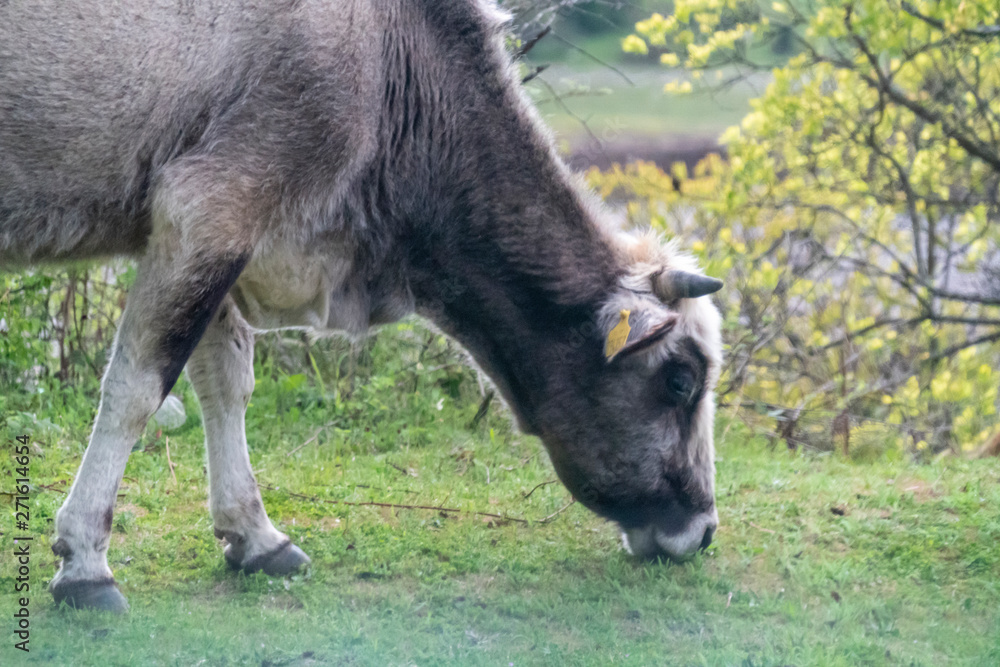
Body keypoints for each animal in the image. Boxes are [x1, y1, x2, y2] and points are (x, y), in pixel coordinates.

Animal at [0, 0, 724, 613]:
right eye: (681, 380)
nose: (705, 529)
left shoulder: (215, 230)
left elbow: (226, 383)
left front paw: (255, 534)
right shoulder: (211, 202)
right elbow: (137, 389)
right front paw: (86, 564)